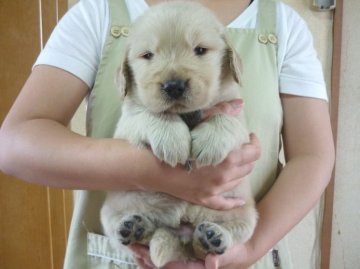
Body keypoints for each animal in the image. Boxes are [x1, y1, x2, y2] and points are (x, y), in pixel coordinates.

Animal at [101, 1, 258, 266]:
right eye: (147, 55)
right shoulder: (128, 119)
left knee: (226, 237)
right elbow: (150, 112)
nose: (173, 86)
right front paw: (172, 139)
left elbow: (225, 118)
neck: (187, 114)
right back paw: (135, 227)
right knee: (128, 231)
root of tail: (181, 234)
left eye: (200, 50)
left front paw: (210, 142)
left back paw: (211, 237)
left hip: (244, 214)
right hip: (112, 210)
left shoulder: (236, 110)